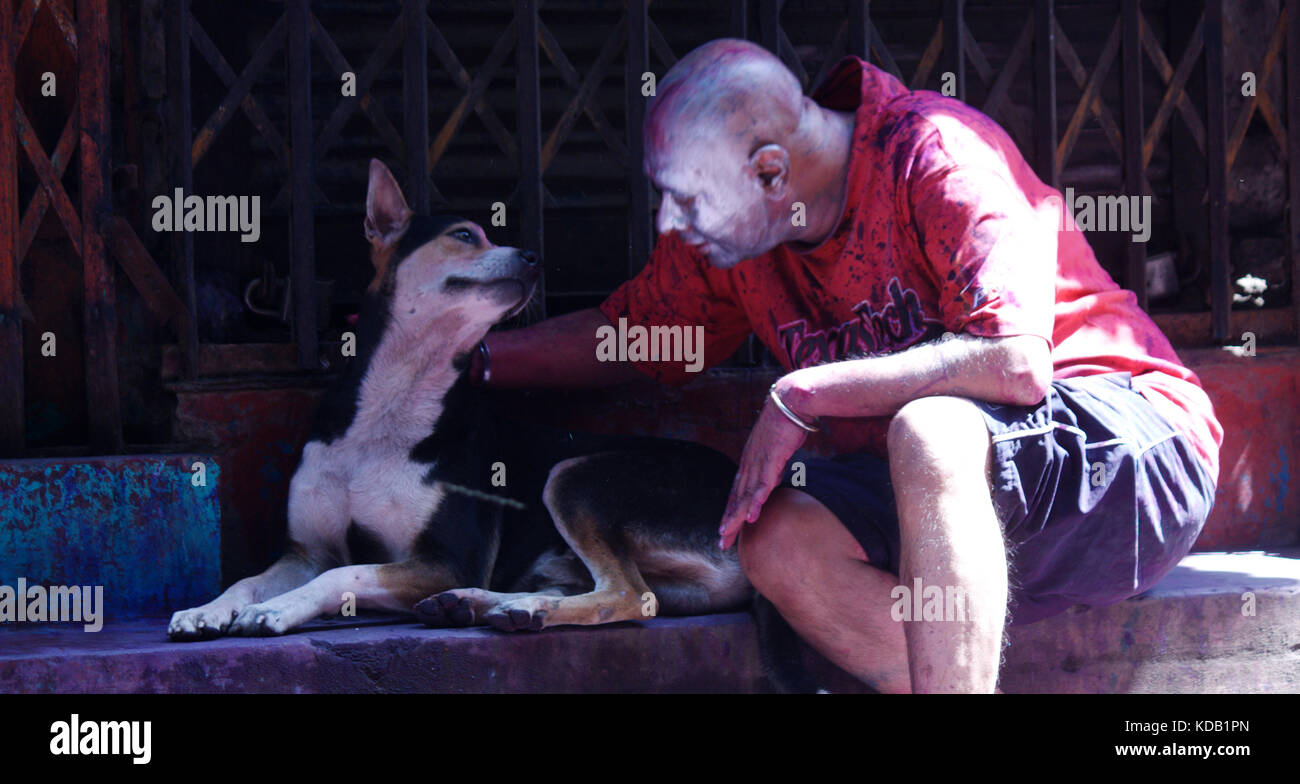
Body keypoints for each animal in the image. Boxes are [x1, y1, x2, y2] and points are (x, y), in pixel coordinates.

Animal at [165, 161, 754, 644]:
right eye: (464, 235)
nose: (534, 257)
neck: (396, 399)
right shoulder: (305, 551)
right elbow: (248, 579)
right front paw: (207, 609)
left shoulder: (445, 559)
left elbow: (342, 574)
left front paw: (279, 609)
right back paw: (482, 605)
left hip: (576, 475)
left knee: (629, 594)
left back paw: (524, 608)